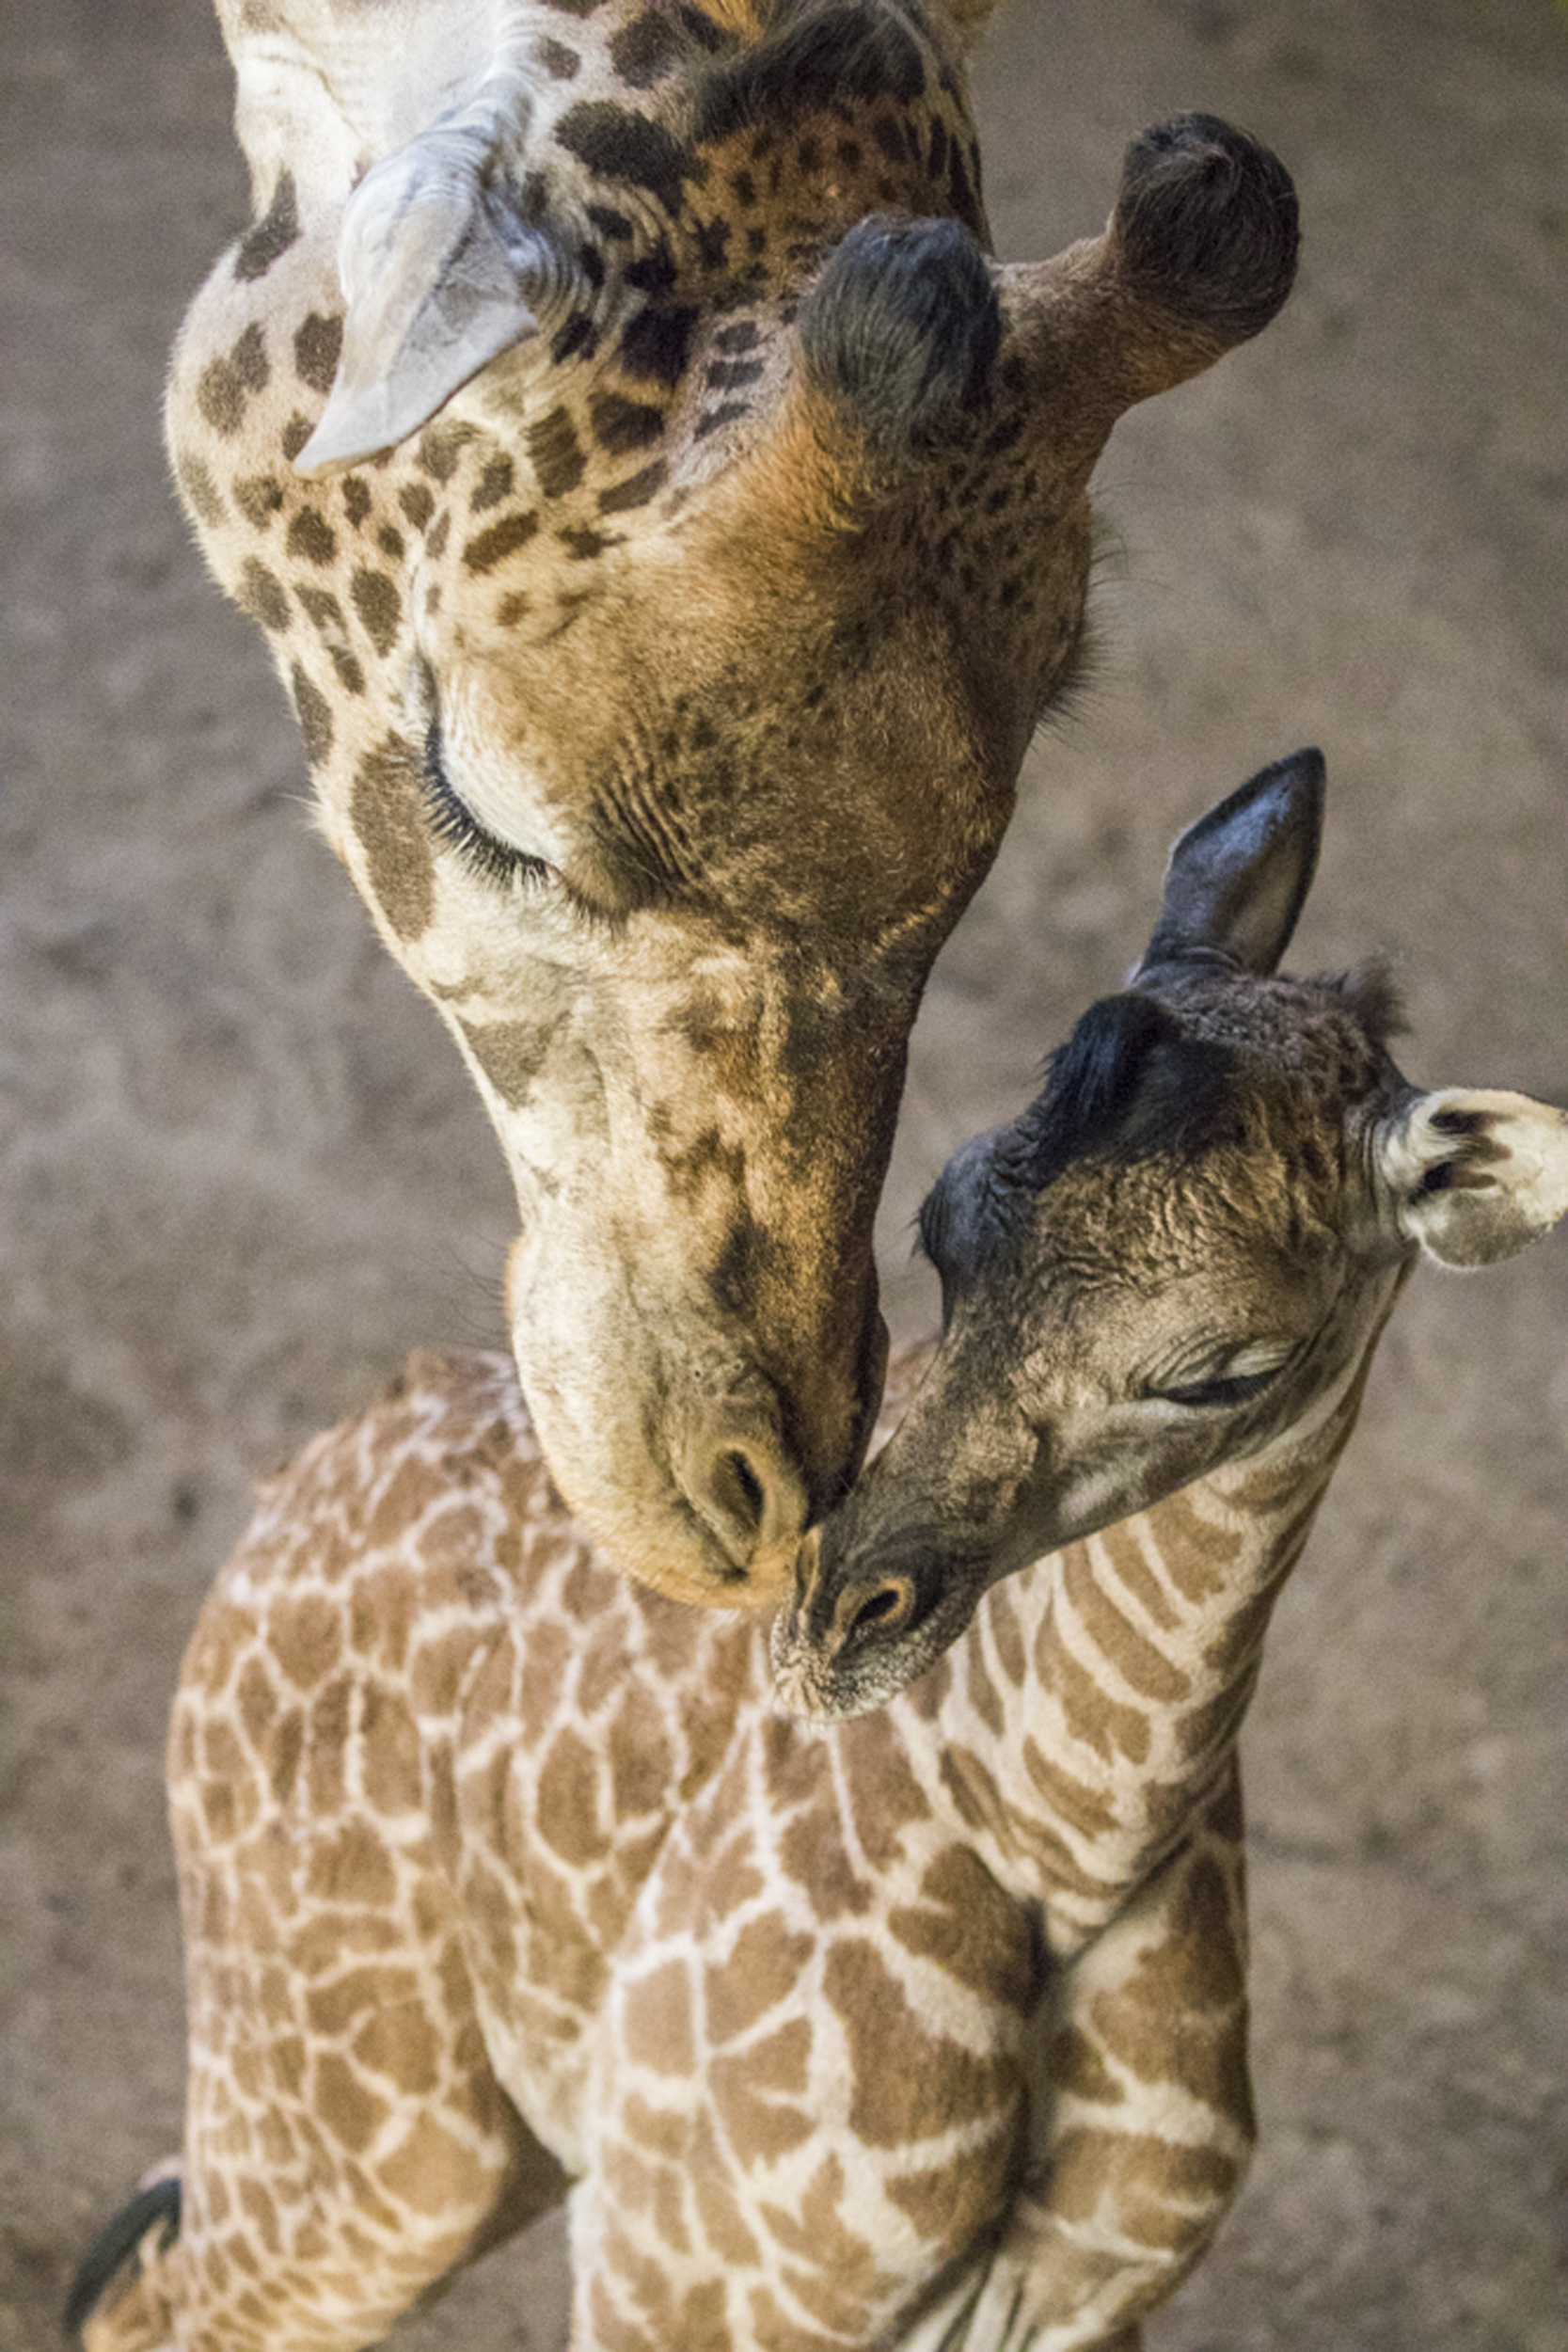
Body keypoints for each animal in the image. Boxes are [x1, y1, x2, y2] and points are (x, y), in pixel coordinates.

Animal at [70, 751, 1568, 2351]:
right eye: (939, 1224)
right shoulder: (685, 2277)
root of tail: (298, 1478)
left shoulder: (1068, 2308)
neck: (1067, 1846)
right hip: (382, 2141)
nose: (834, 1622)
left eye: (1226, 1373)